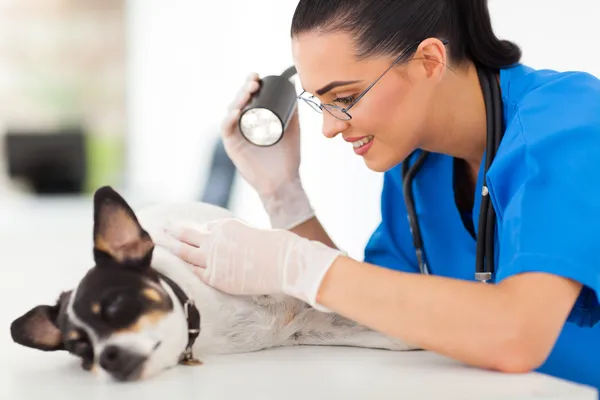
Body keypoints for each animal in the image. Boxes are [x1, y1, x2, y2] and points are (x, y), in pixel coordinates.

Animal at [9, 186, 418, 382]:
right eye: (81, 350)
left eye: (116, 305)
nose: (106, 358)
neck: (203, 316)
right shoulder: (309, 329)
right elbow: (393, 336)